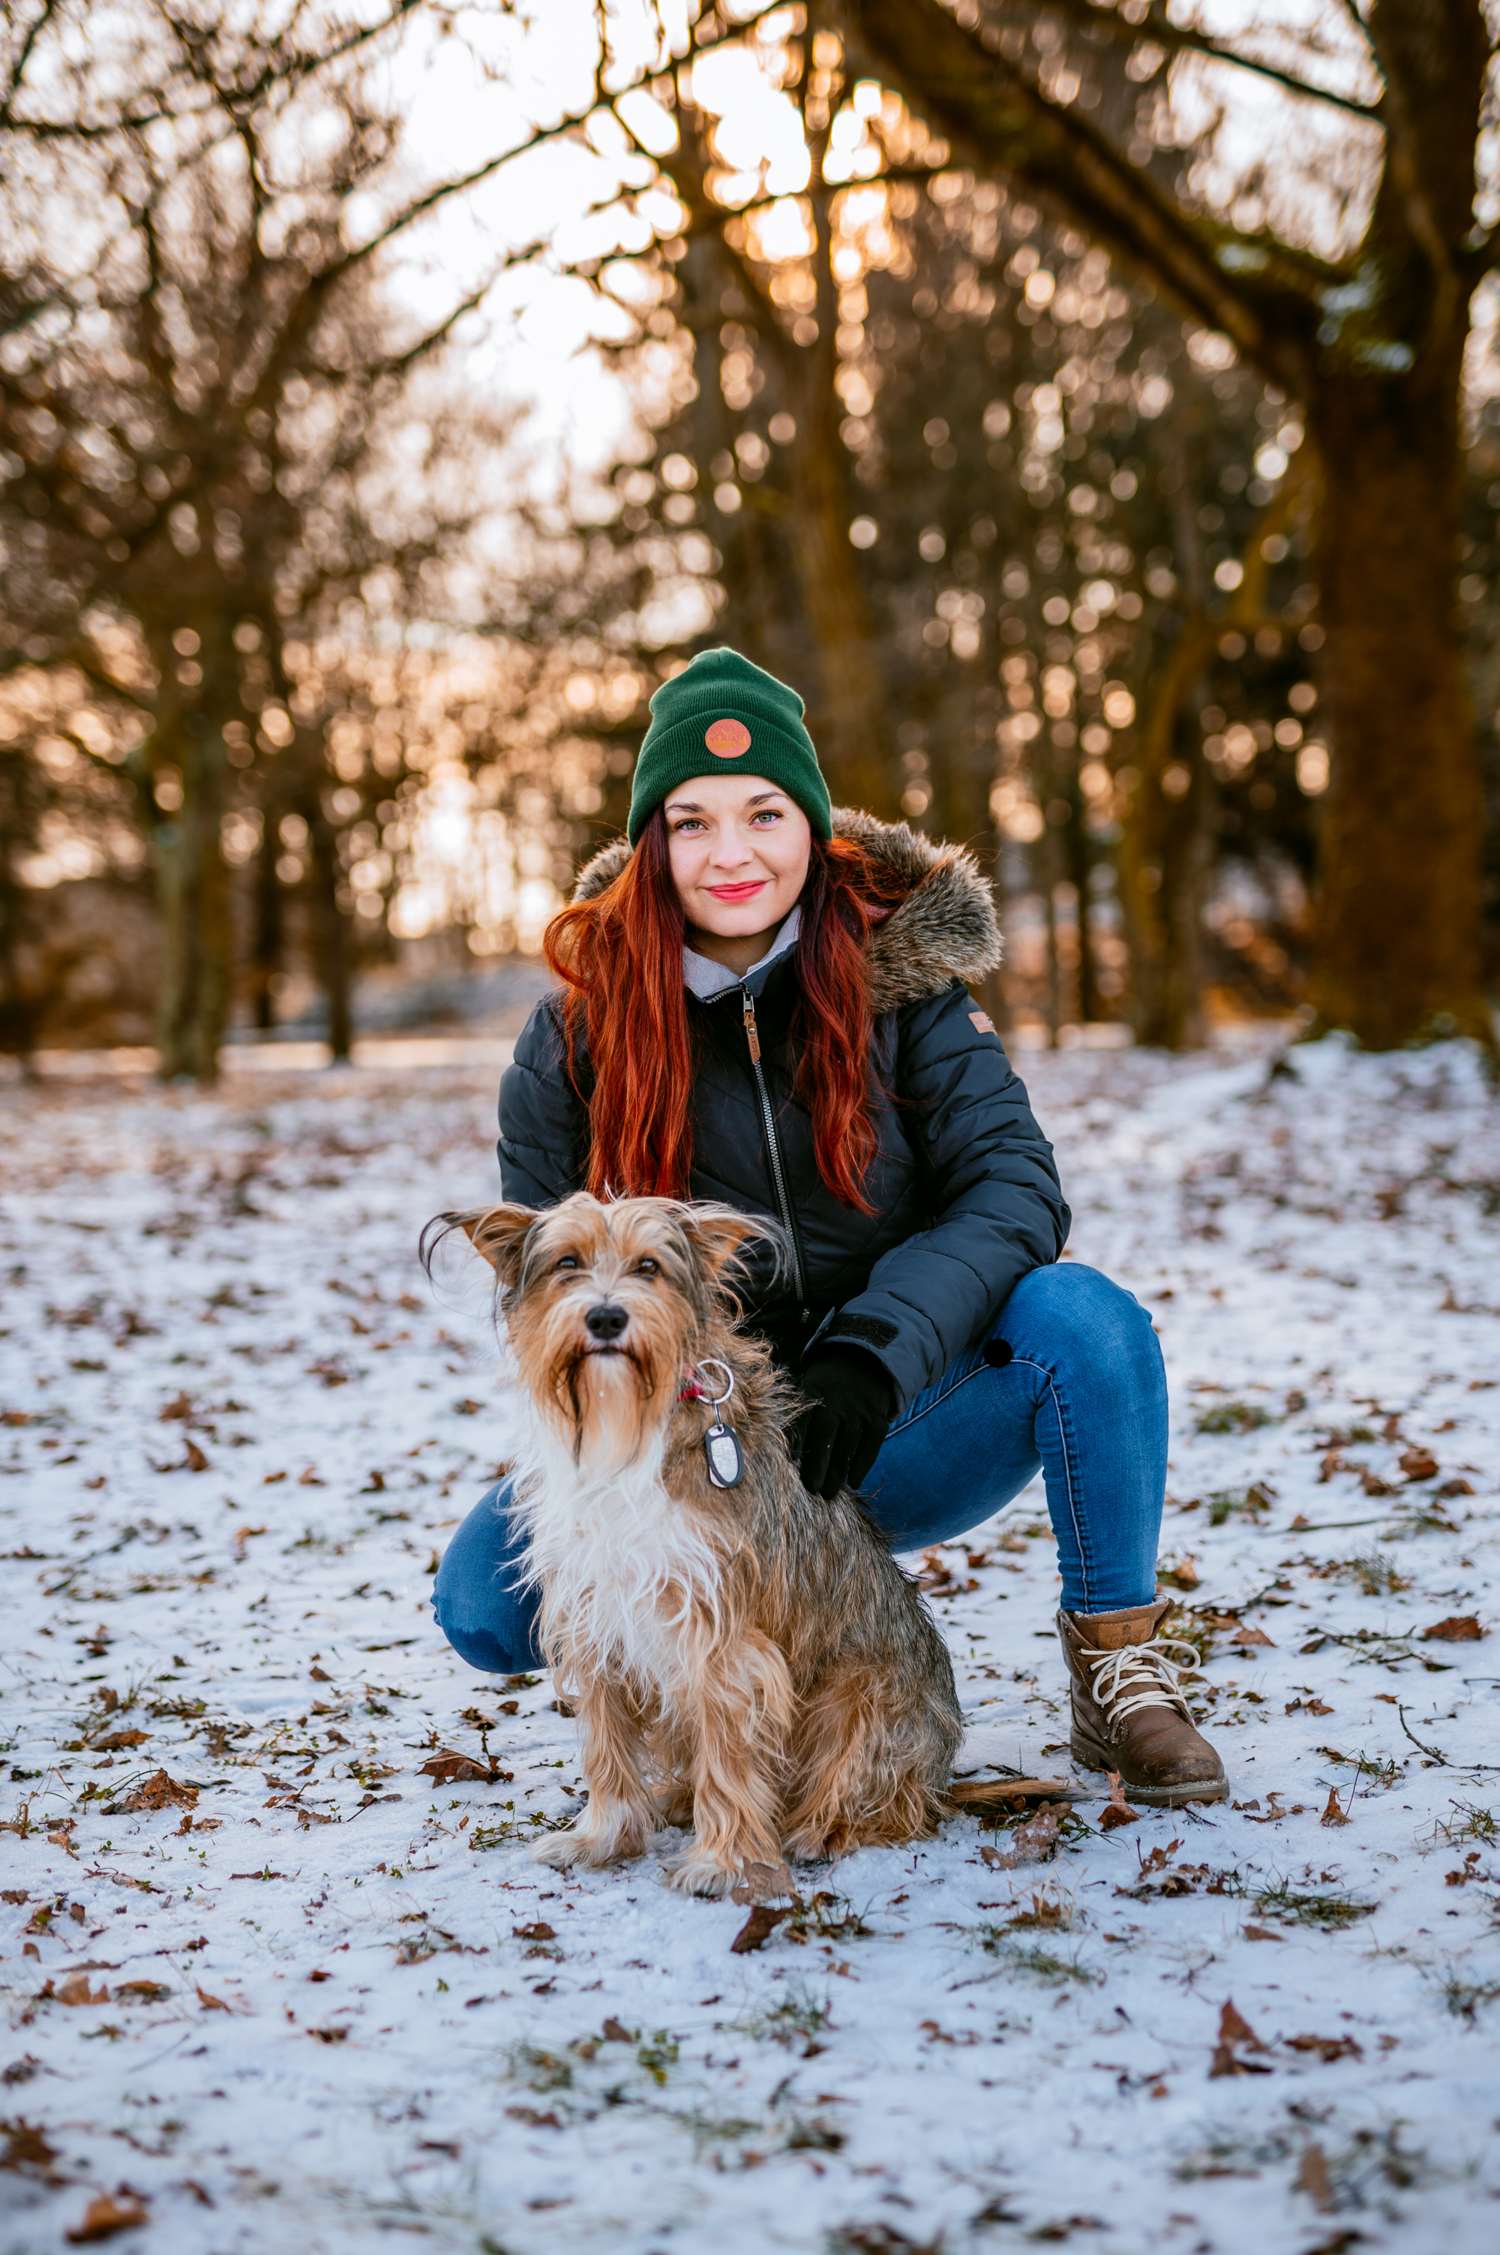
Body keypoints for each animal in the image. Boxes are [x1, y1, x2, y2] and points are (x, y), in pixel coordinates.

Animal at [421, 1190, 960, 1894]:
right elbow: (608, 1742)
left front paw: (722, 1862)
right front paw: (602, 1837)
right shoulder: (596, 1612)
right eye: (568, 1262)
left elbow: (729, 1752)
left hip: (859, 1699)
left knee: (884, 1800)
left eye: (648, 1266)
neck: (627, 1427)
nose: (605, 1316)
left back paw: (824, 1829)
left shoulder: (723, 1635)